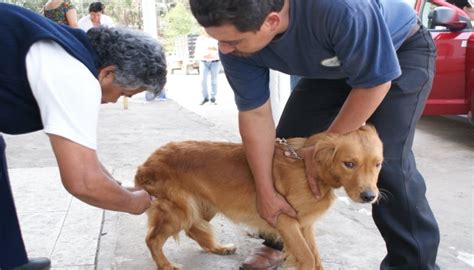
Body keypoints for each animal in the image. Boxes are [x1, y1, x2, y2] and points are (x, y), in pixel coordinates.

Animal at [134, 125, 386, 270]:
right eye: (349, 164)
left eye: (378, 164)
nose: (369, 196)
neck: (309, 168)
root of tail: (148, 161)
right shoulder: (285, 219)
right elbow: (307, 257)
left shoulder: (305, 225)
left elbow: (316, 257)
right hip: (179, 210)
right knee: (152, 239)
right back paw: (165, 265)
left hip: (205, 205)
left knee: (194, 230)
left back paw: (218, 248)